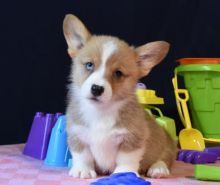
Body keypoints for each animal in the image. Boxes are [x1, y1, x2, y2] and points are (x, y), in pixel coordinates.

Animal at [63, 14, 177, 179]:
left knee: (165, 158)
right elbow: (82, 155)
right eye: (89, 65)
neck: (101, 112)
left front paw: (124, 173)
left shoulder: (133, 138)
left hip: (166, 146)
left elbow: (126, 158)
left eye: (118, 73)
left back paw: (158, 168)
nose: (97, 89)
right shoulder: (77, 134)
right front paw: (82, 170)